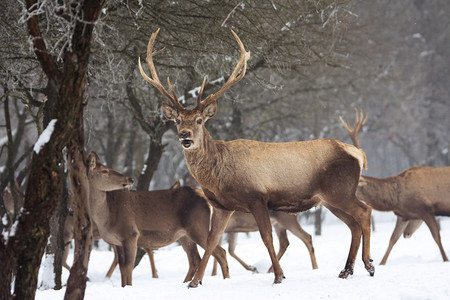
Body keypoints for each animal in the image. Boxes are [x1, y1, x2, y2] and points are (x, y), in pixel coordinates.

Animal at [139, 28, 374, 288]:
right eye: (178, 120)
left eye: (199, 120)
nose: (184, 136)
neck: (219, 177)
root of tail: (358, 153)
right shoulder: (221, 206)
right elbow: (212, 240)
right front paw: (194, 282)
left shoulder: (257, 197)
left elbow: (266, 237)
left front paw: (279, 275)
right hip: (329, 198)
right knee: (353, 224)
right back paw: (347, 270)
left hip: (339, 190)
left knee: (365, 211)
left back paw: (369, 265)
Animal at [342, 109, 450, 264]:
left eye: (354, 184)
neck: (396, 199)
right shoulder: (404, 215)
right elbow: (393, 239)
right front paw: (381, 263)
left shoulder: (426, 209)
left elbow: (437, 236)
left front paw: (446, 260)